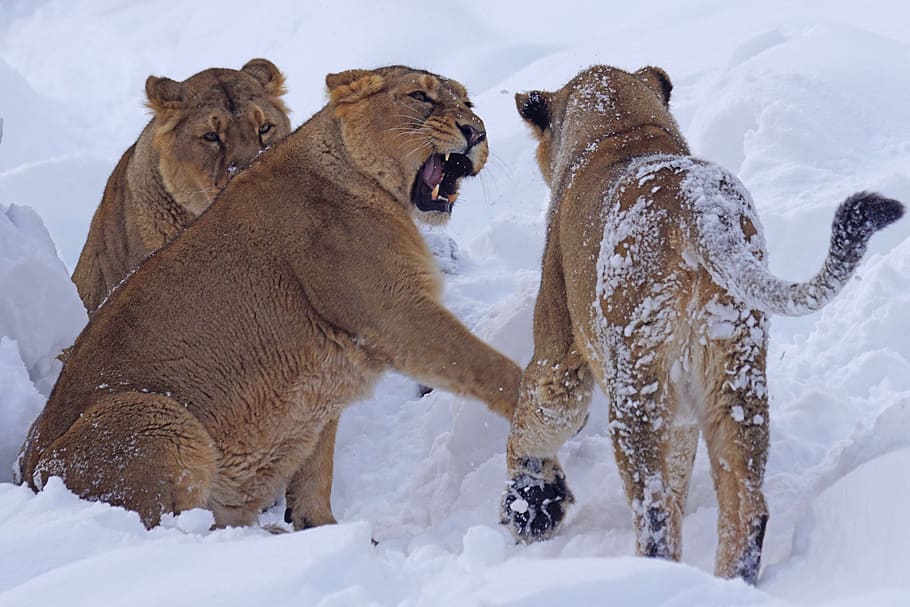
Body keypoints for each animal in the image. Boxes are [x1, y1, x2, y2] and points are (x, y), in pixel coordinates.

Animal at [500, 64, 904, 584]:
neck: (621, 128)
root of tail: (698, 209)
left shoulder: (558, 350)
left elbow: (533, 421)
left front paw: (530, 505)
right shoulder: (686, 414)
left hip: (636, 388)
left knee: (653, 513)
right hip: (736, 375)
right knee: (746, 507)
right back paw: (729, 584)